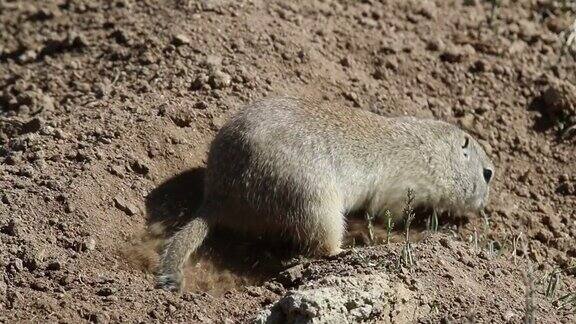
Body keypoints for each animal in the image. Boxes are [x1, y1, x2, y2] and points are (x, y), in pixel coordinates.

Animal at [156, 96, 496, 292]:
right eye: (487, 174)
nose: (484, 207)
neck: (433, 153)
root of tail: (217, 198)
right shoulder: (404, 188)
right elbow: (389, 213)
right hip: (314, 201)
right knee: (322, 246)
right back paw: (347, 250)